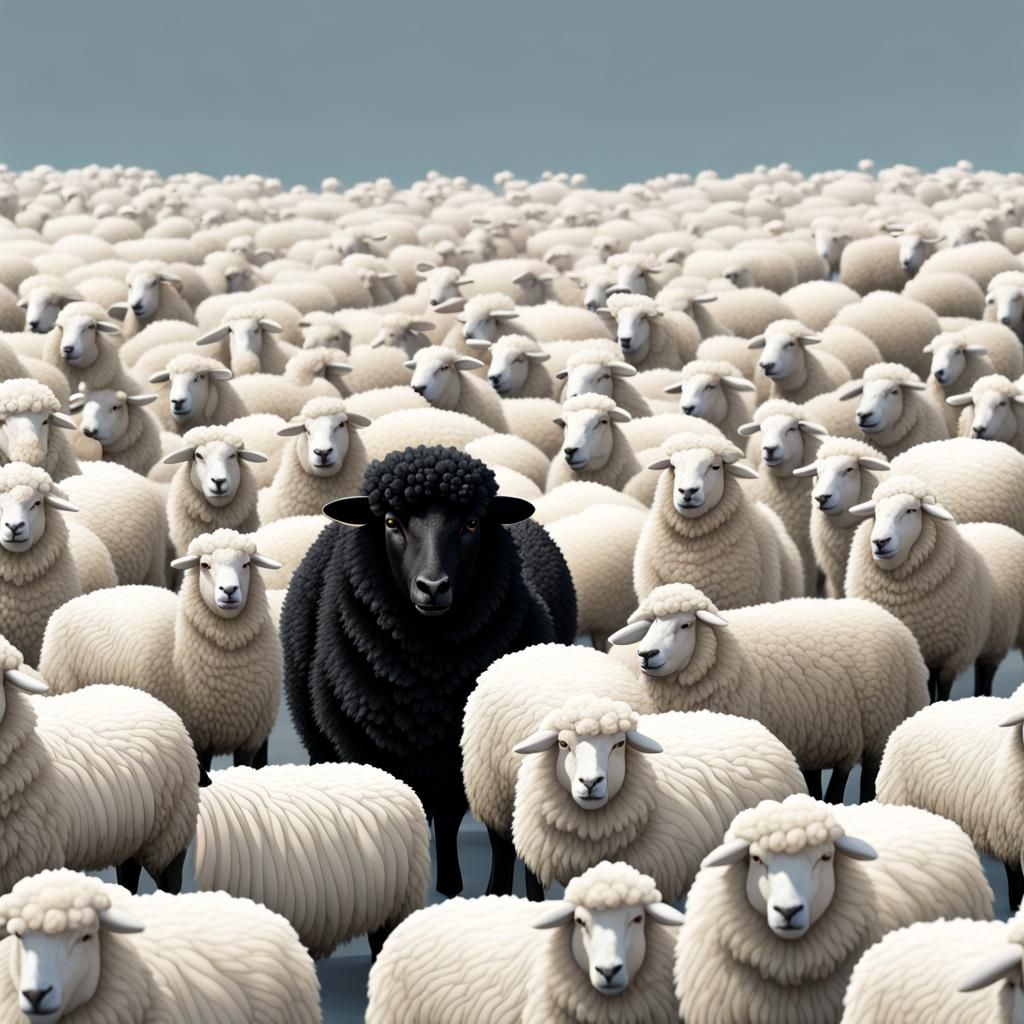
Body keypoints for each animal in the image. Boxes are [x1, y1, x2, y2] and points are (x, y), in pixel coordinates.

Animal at [39, 529, 282, 769]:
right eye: (205, 565)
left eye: (246, 564)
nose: (229, 590)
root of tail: (68, 604)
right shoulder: (199, 737)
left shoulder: (251, 739)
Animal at [281, 446, 576, 898]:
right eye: (390, 522)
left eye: (472, 522)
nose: (433, 587)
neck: (428, 684)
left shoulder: (480, 757)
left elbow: (484, 831)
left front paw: (480, 892)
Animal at [609, 583, 928, 801]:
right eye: (650, 625)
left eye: (686, 624)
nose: (647, 655)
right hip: (817, 734)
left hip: (874, 730)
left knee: (853, 782)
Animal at [845, 474, 1024, 700]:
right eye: (875, 513)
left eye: (911, 510)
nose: (880, 542)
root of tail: (999, 527)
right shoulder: (923, 651)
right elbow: (929, 688)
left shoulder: (951, 655)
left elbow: (943, 689)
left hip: (997, 638)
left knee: (986, 673)